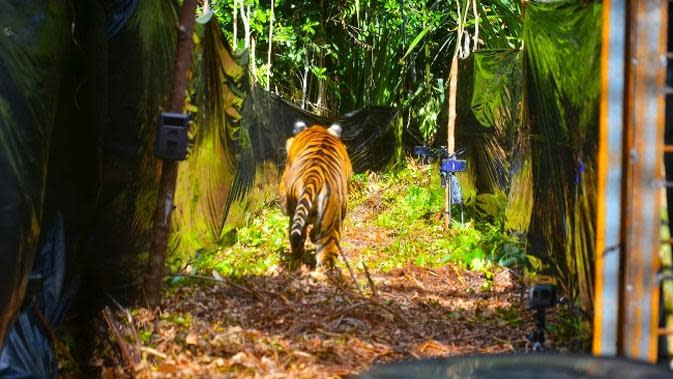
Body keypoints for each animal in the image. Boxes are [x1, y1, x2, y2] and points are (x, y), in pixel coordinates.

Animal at [278, 120, 352, 268]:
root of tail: (315, 177)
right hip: (331, 224)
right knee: (325, 258)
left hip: (294, 214)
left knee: (297, 241)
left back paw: (295, 262)